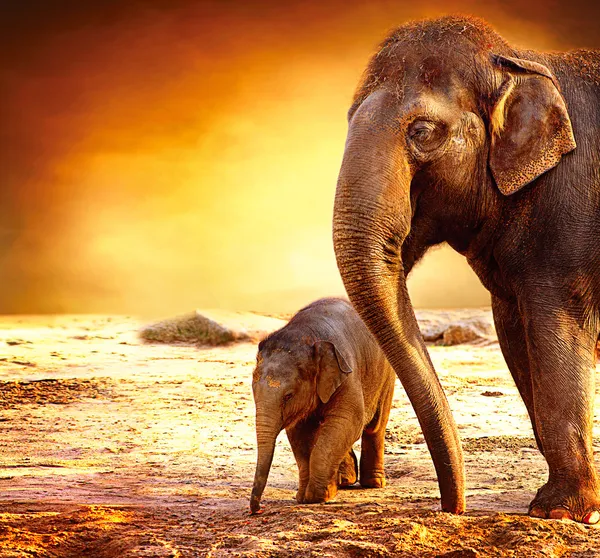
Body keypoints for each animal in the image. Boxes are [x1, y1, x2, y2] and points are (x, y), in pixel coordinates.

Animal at [248, 300, 394, 516]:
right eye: (253, 391)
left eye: (288, 396)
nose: (257, 509)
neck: (306, 334)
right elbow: (300, 434)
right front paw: (304, 496)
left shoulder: (347, 373)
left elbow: (348, 421)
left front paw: (317, 496)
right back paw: (345, 480)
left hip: (386, 375)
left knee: (375, 426)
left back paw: (373, 483)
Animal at [332, 15, 600, 528]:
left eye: (421, 131)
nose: (453, 508)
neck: (519, 60)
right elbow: (517, 338)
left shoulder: (570, 218)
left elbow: (556, 333)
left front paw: (560, 513)